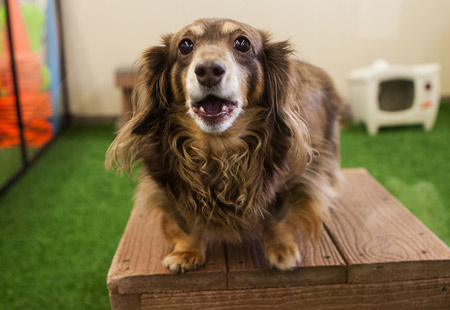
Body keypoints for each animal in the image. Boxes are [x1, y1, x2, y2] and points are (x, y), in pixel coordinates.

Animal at [107, 18, 342, 272]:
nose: (209, 70)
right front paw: (186, 251)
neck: (218, 152)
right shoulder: (167, 185)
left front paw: (281, 249)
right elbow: (185, 222)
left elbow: (278, 217)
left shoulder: (292, 182)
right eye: (185, 45)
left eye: (242, 43)